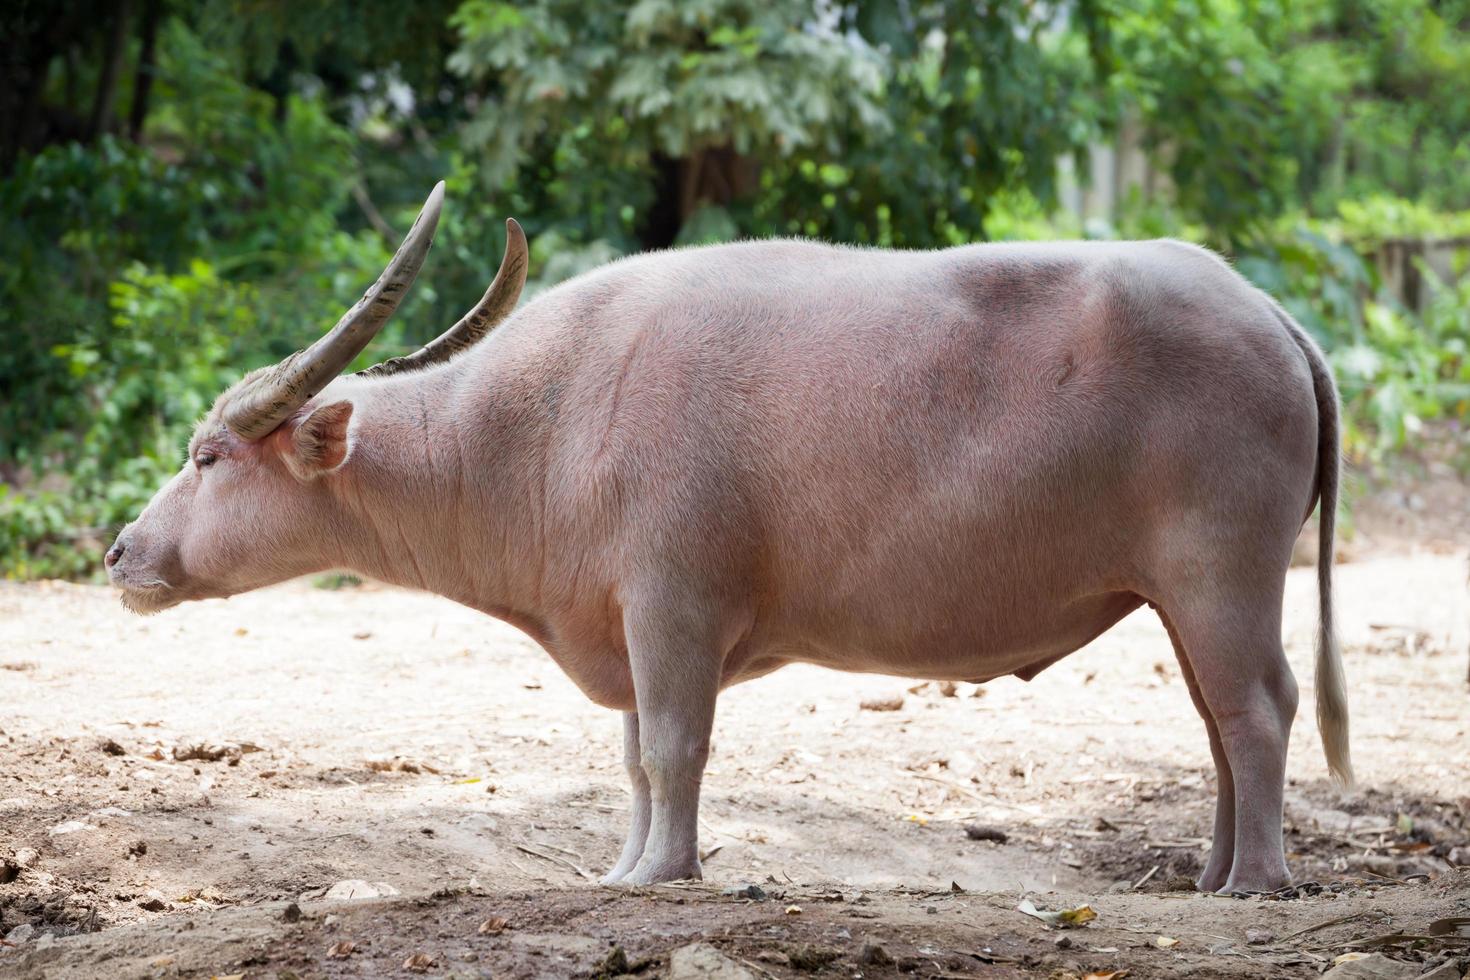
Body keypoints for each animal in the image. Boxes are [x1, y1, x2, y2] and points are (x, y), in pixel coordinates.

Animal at [111, 183, 1352, 899]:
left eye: (208, 454)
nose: (122, 553)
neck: (538, 427)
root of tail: (1273, 317)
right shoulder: (629, 622)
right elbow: (630, 762)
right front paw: (624, 862)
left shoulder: (675, 610)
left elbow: (674, 747)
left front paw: (663, 875)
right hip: (1177, 595)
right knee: (1218, 721)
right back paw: (1210, 870)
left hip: (1221, 571)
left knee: (1261, 708)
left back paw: (1258, 882)